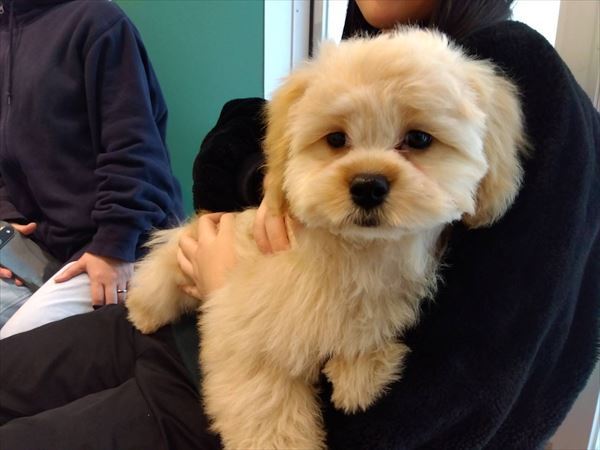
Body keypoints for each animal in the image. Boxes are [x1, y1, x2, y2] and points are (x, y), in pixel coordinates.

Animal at [126, 27, 526, 450]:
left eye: (419, 139)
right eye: (336, 139)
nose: (367, 185)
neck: (356, 253)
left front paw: (360, 374)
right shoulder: (250, 345)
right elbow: (268, 414)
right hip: (167, 269)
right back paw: (143, 314)